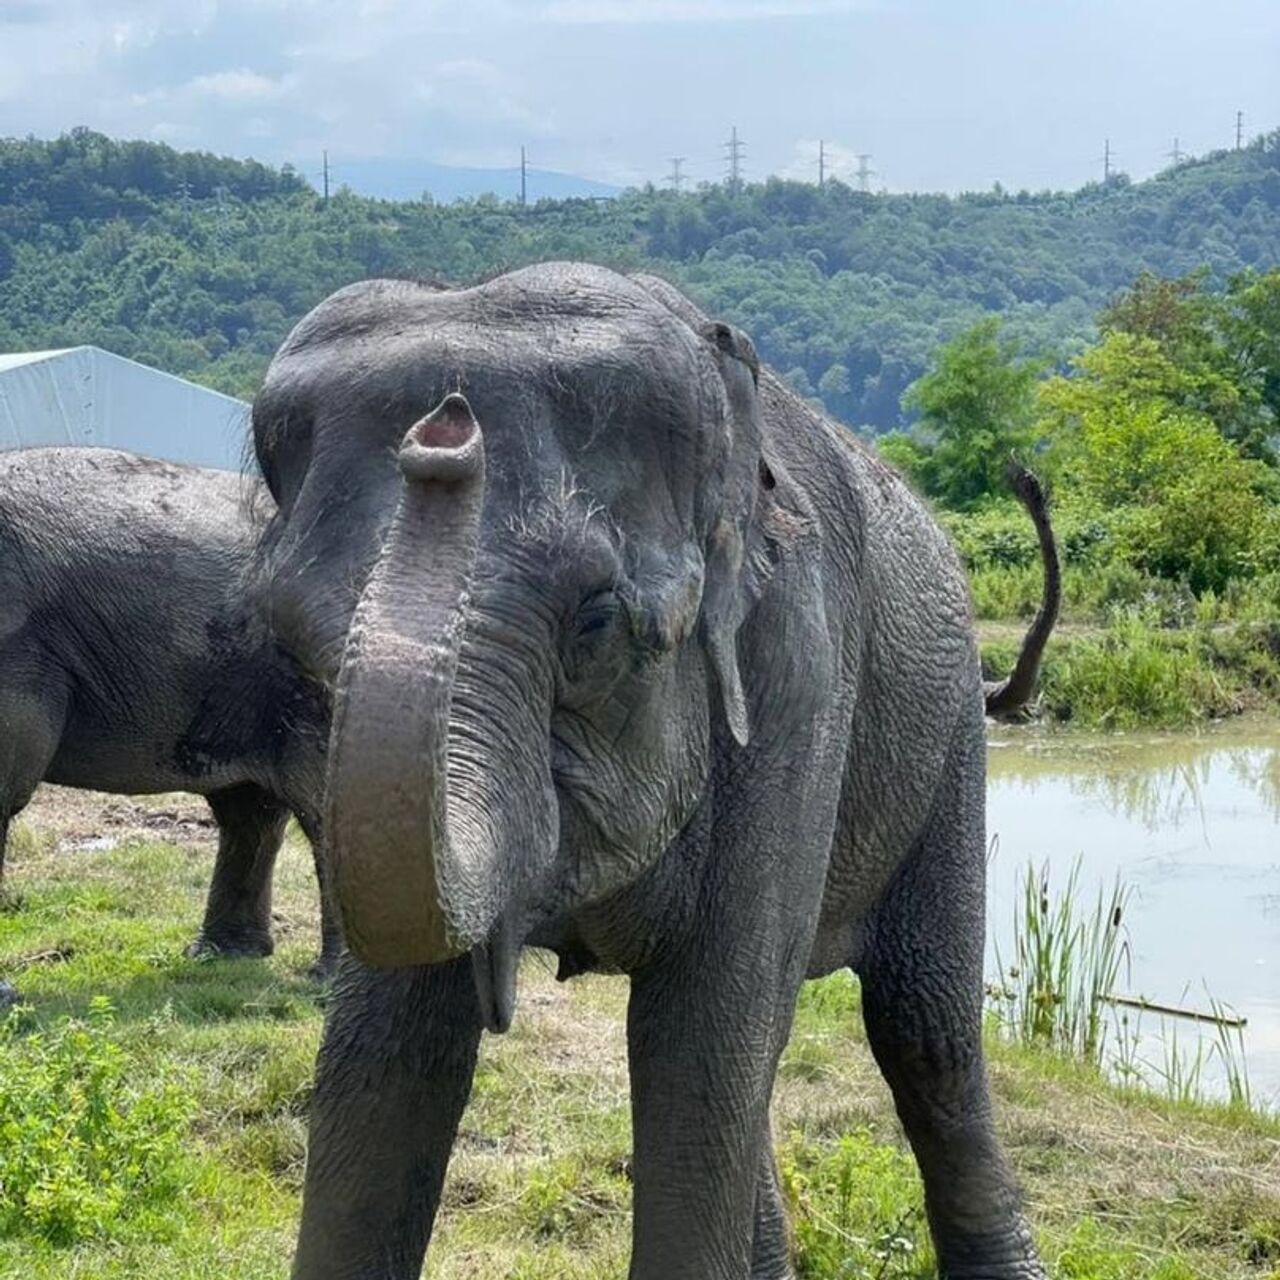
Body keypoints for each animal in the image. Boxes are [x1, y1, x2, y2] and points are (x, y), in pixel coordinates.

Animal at [257, 262, 1049, 1280]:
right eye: (295, 637)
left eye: (595, 623)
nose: (444, 430)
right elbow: (383, 1053)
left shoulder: (798, 679)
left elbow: (700, 1048)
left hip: (947, 742)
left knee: (924, 1033)